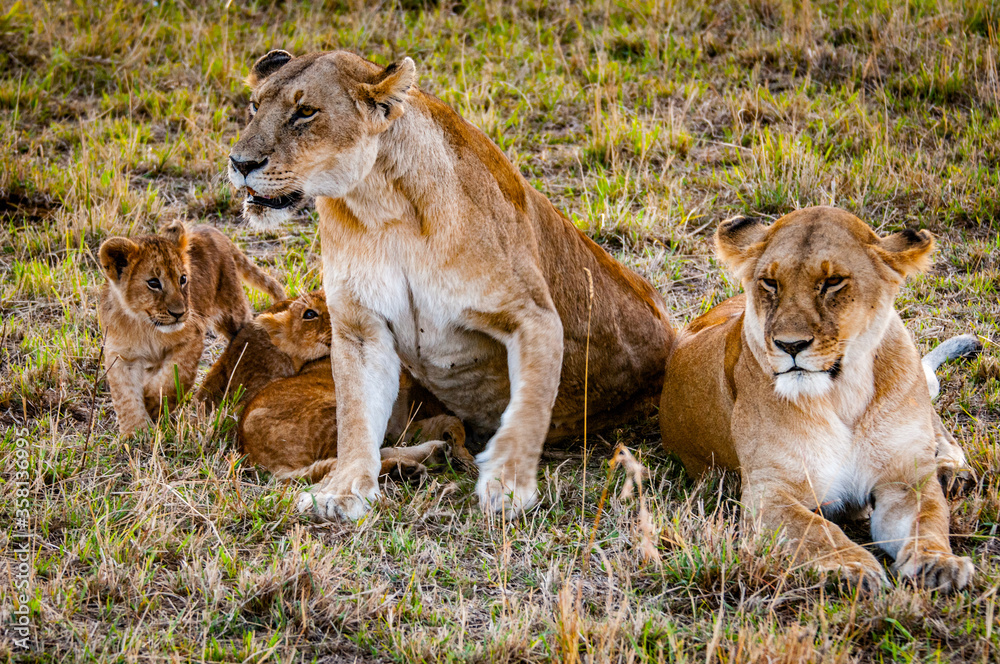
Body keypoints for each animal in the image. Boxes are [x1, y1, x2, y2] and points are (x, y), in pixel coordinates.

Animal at [98, 222, 286, 436]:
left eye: (183, 279)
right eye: (153, 283)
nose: (179, 313)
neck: (145, 325)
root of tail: (211, 229)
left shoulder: (192, 336)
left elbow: (175, 378)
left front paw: (153, 403)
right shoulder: (122, 356)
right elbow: (125, 396)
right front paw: (135, 432)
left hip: (232, 310)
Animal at [233, 290, 473, 483]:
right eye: (309, 314)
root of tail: (250, 453)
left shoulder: (397, 425)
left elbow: (449, 420)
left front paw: (460, 446)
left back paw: (431, 456)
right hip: (339, 415)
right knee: (352, 463)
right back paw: (405, 468)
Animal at [660, 206, 977, 592]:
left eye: (833, 281)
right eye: (770, 282)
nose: (790, 345)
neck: (842, 394)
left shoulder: (903, 483)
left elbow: (927, 520)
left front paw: (939, 562)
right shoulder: (767, 494)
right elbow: (817, 530)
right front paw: (855, 567)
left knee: (936, 426)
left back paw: (951, 470)